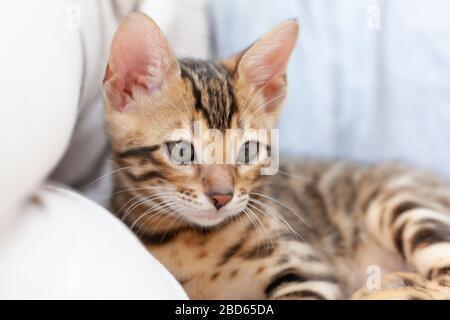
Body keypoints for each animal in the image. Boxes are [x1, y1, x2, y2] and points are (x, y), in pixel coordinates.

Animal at [102, 11, 450, 298]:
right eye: (182, 151)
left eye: (247, 151)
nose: (222, 197)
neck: (192, 239)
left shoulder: (307, 266)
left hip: (399, 201)